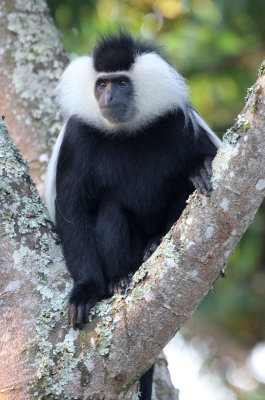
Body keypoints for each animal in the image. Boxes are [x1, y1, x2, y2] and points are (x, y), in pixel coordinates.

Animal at [44, 32, 221, 400]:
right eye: (102, 84)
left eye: (122, 83)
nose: (109, 96)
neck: (125, 132)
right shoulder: (78, 137)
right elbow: (72, 210)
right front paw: (85, 292)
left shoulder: (176, 120)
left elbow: (212, 157)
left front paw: (201, 168)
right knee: (110, 210)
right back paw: (120, 278)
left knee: (182, 190)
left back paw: (155, 243)